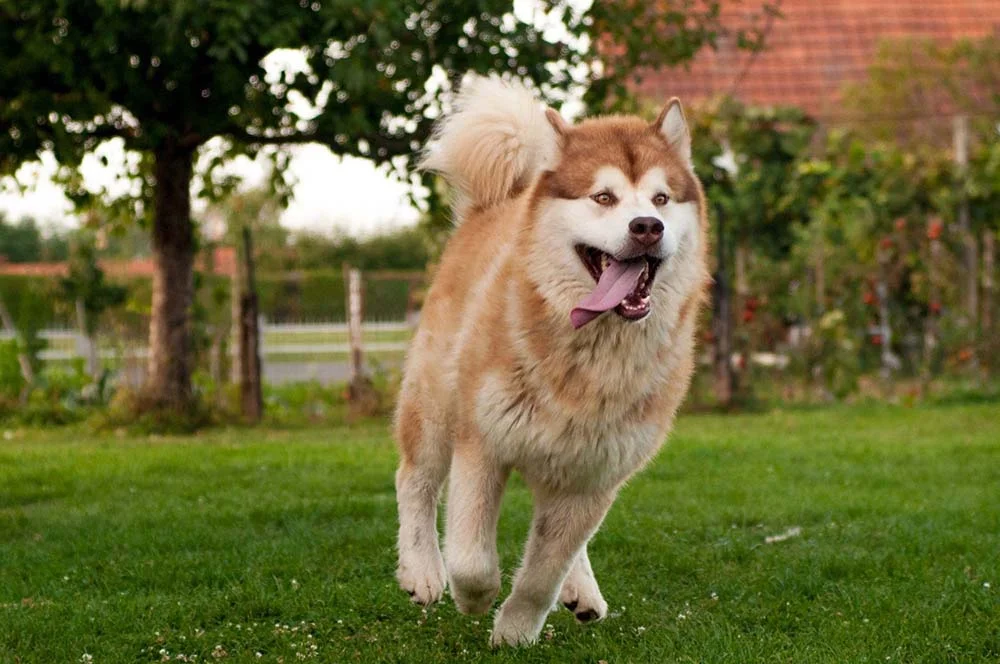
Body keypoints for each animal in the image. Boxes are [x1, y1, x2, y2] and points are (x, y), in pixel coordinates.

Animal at [394, 75, 708, 644]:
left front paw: (516, 629)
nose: (648, 226)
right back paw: (421, 570)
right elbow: (471, 559)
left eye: (661, 198)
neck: (590, 354)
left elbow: (544, 570)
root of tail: (493, 205)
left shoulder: (596, 477)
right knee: (415, 481)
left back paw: (580, 588)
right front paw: (473, 598)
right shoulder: (481, 443)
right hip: (434, 406)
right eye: (603, 197)